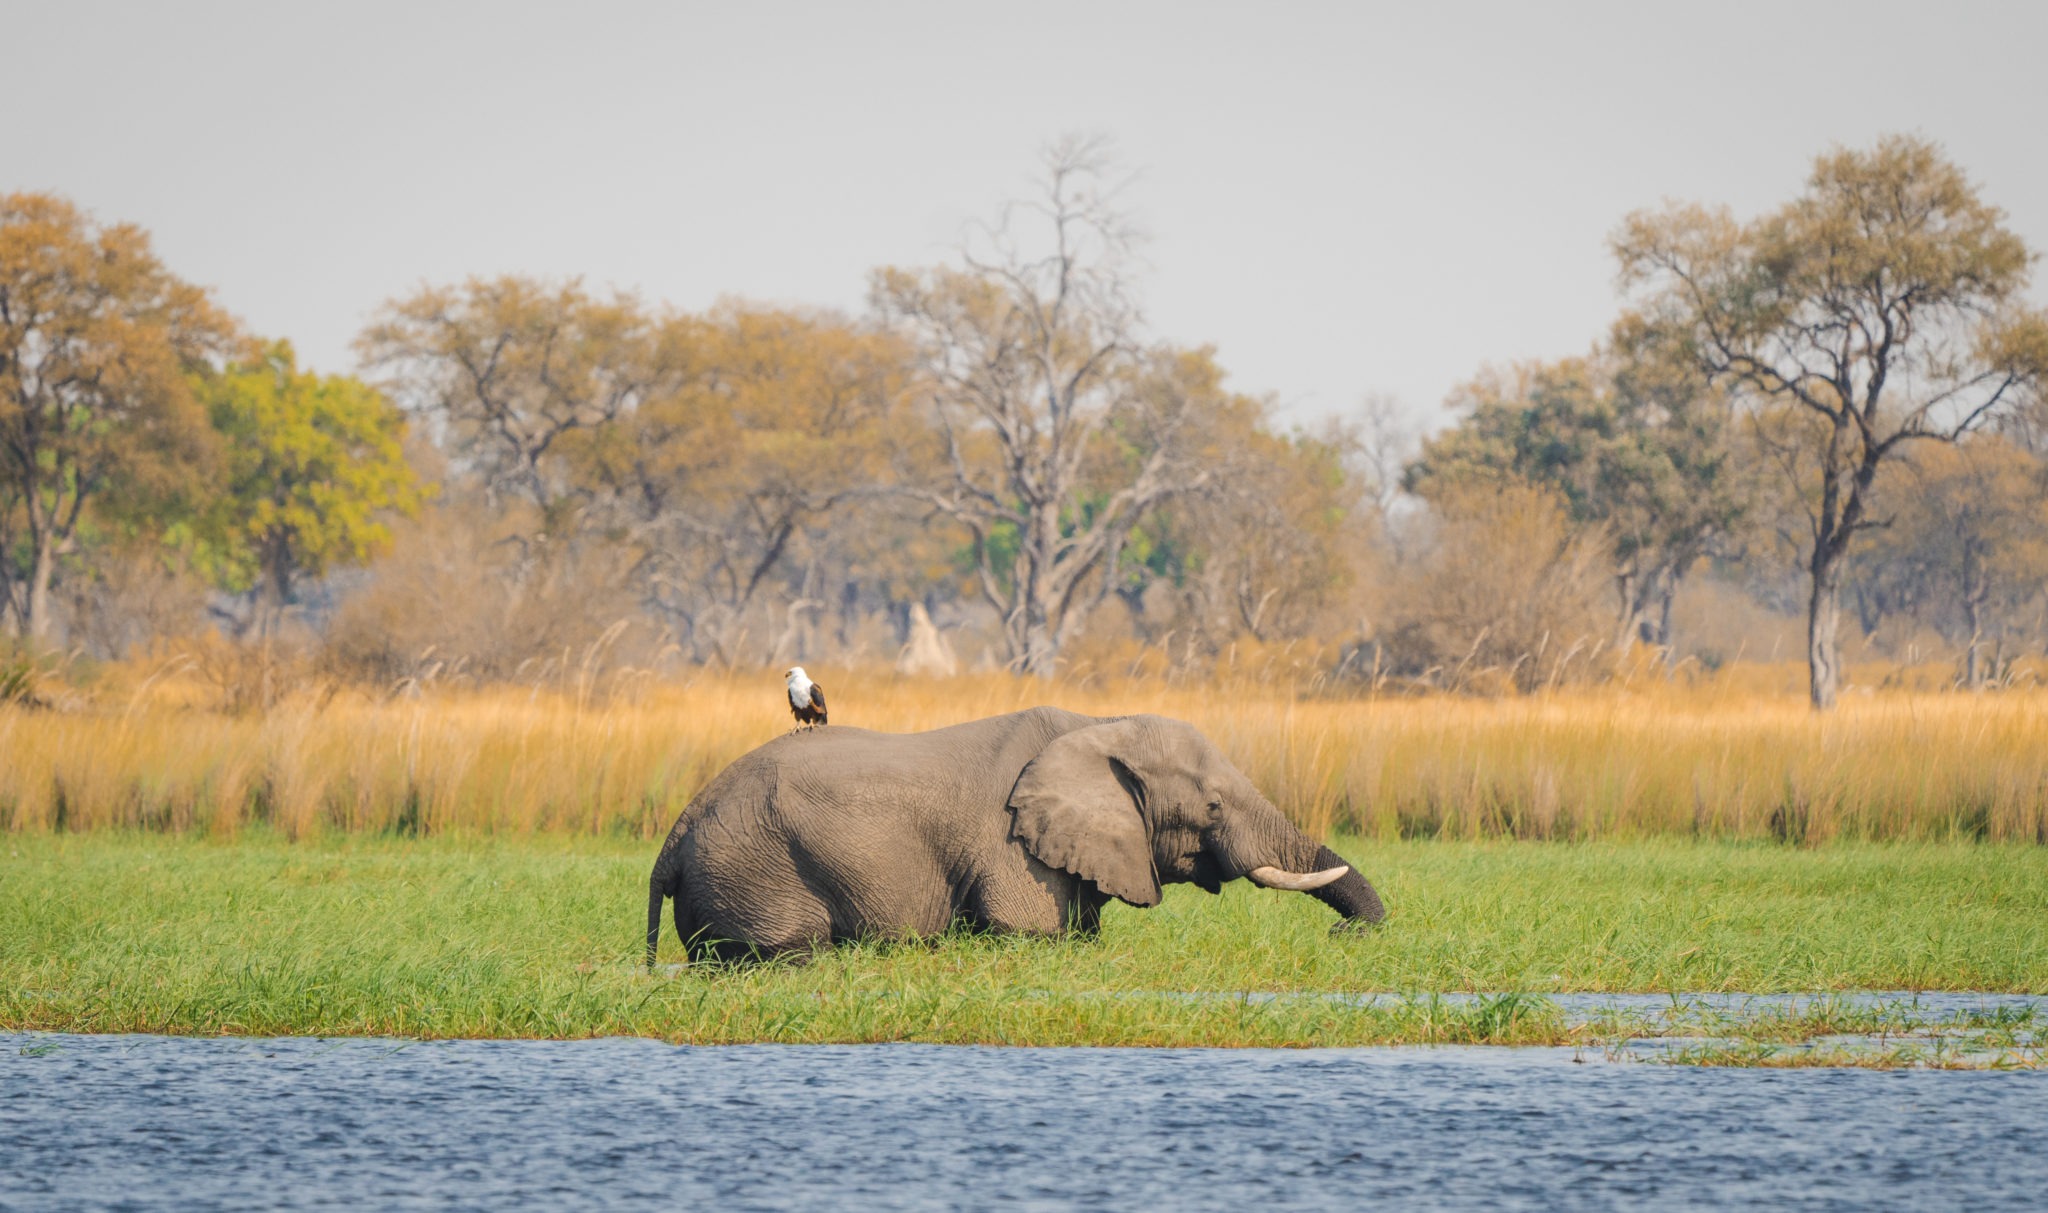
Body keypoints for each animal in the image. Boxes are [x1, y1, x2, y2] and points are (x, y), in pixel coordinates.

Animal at [645, 706, 1386, 964]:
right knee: (786, 951)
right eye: (1210, 806)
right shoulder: (1013, 851)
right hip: (754, 870)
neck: (1099, 725)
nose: (1341, 934)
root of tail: (672, 837)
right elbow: (1031, 934)